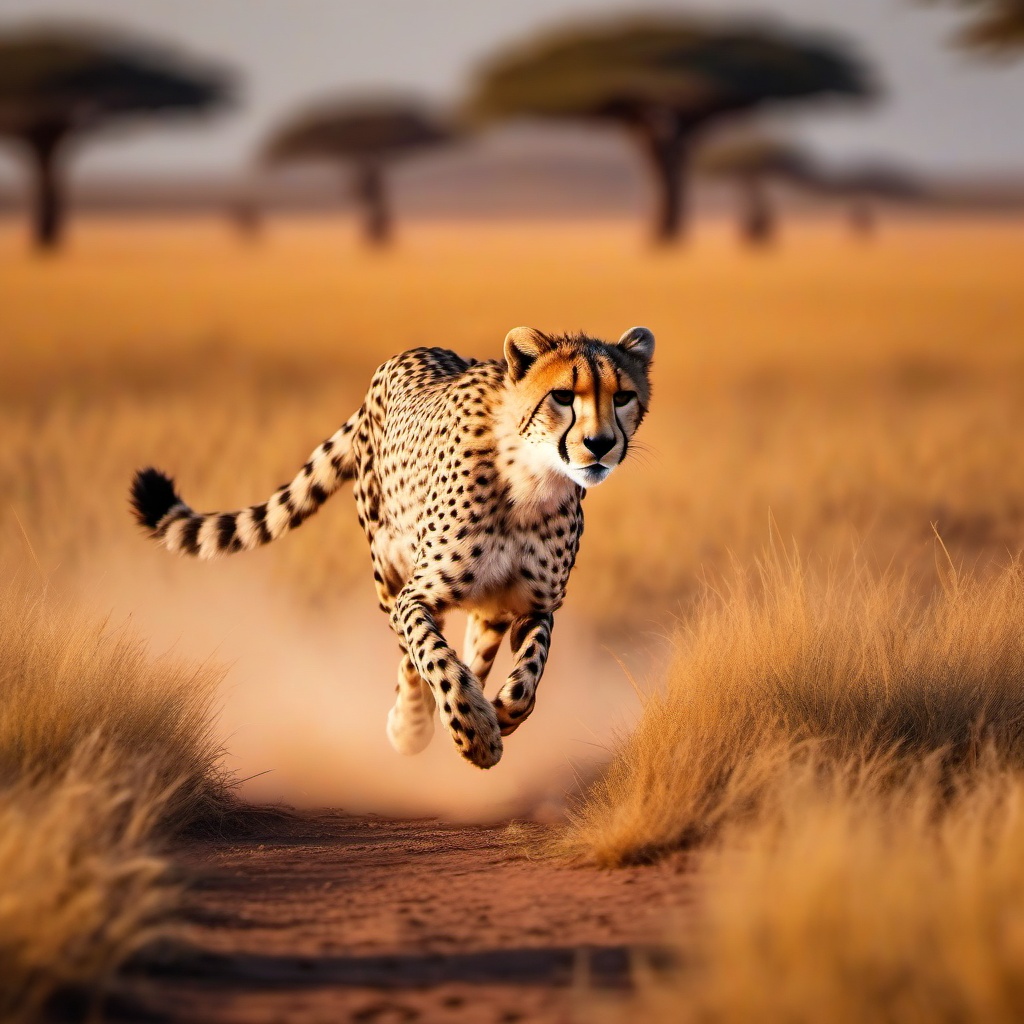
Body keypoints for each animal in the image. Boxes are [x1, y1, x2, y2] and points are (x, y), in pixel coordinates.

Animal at [130, 327, 655, 770]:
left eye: (623, 397)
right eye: (562, 396)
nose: (599, 444)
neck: (529, 480)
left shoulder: (534, 606)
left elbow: (529, 669)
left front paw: (503, 712)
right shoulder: (418, 594)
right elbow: (433, 657)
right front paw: (472, 731)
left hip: (479, 606)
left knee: (473, 650)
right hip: (386, 566)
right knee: (410, 653)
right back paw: (412, 725)